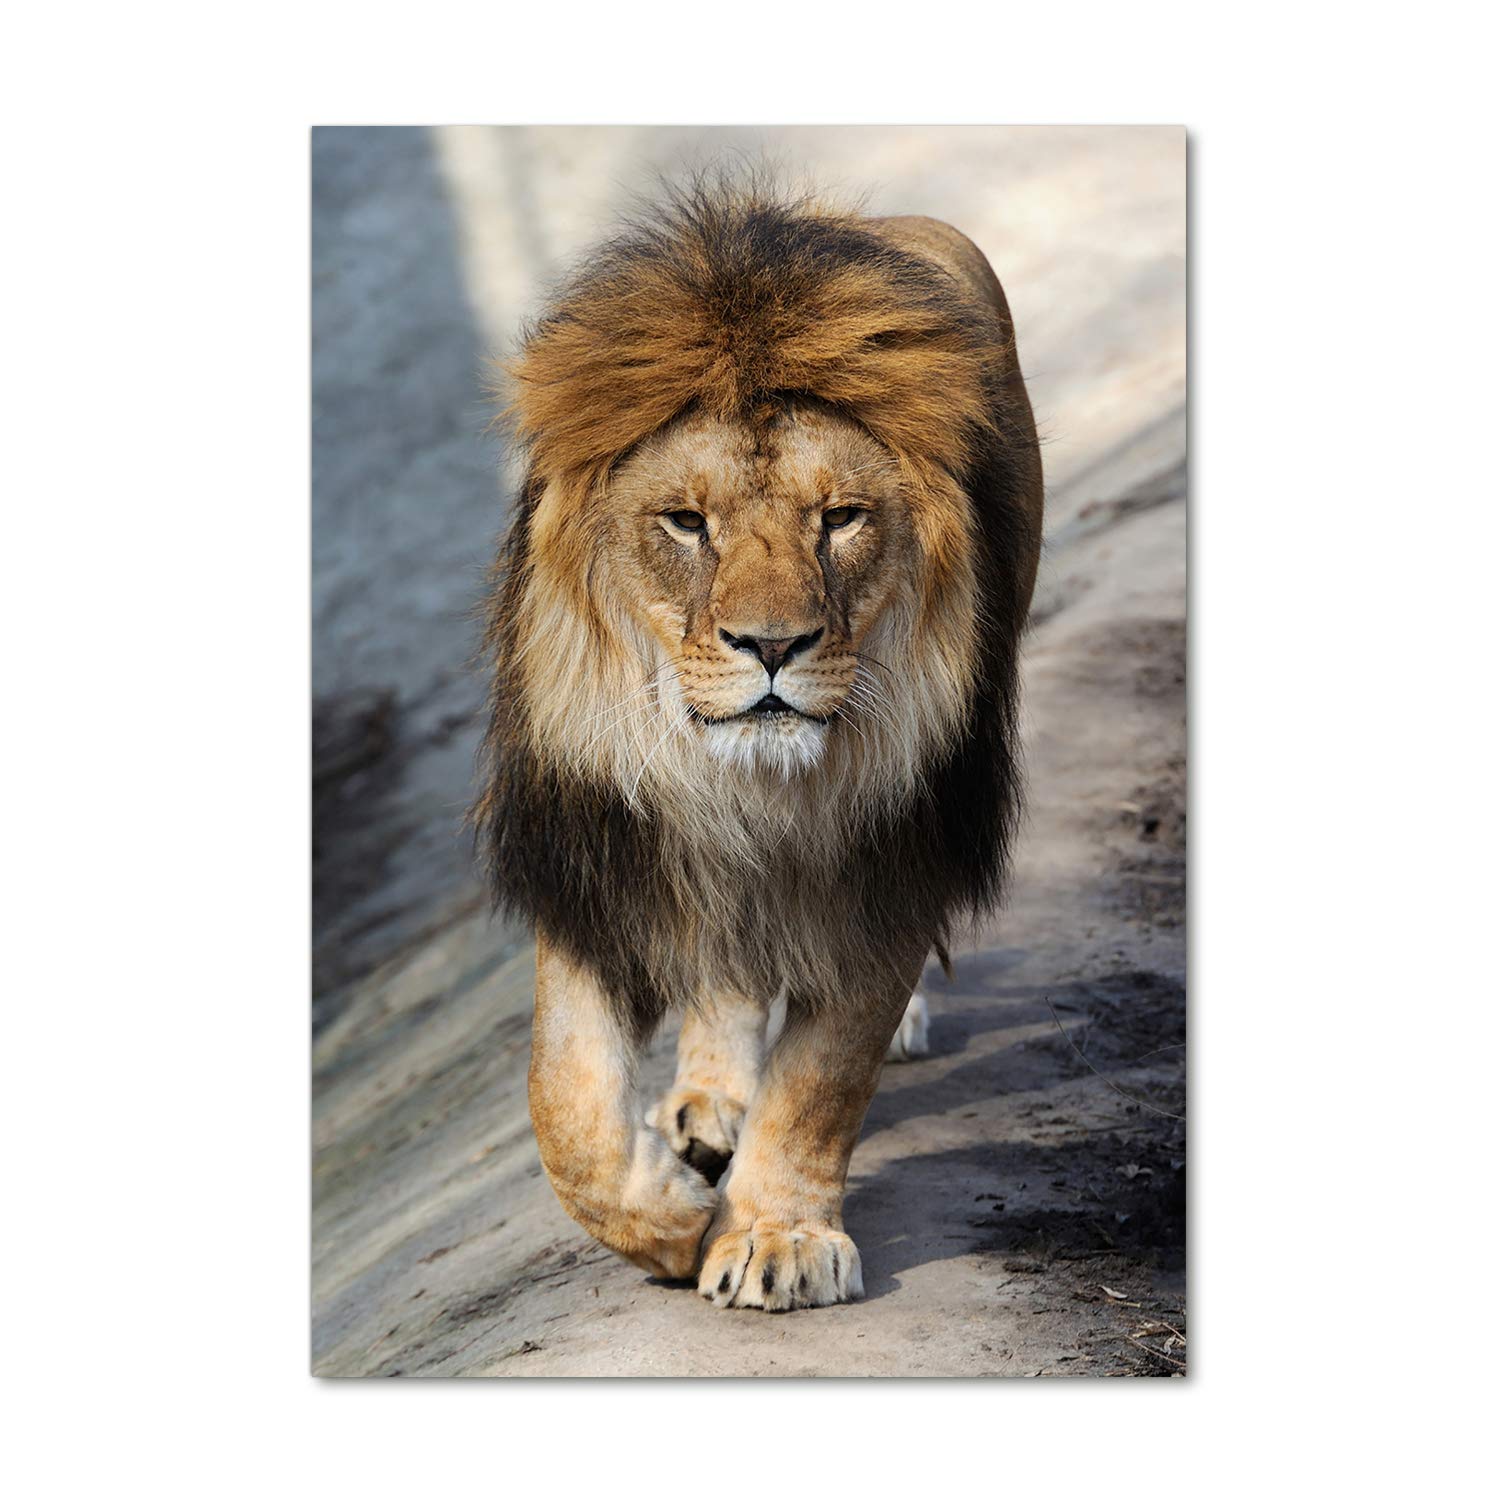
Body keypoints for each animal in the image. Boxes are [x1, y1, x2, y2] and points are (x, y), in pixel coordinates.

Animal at [474, 179, 1043, 1310]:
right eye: (687, 523)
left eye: (843, 518)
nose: (773, 645)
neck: (756, 788)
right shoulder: (603, 850)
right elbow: (564, 1100)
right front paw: (666, 1218)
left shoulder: (895, 856)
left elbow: (824, 1076)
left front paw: (778, 1235)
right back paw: (705, 1109)